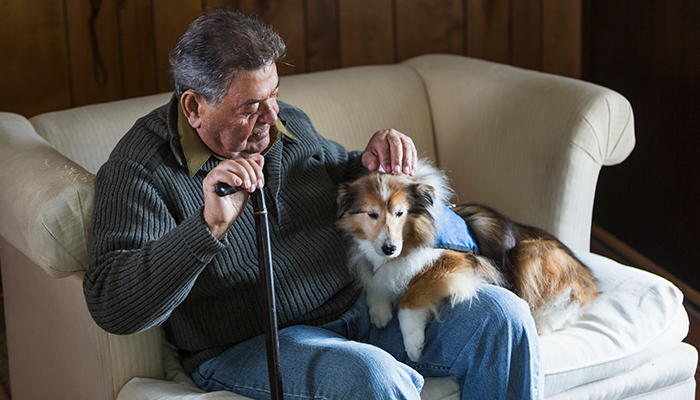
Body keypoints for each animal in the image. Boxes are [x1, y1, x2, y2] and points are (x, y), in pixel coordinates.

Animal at [336, 160, 600, 362]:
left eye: (400, 213)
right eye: (372, 214)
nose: (389, 248)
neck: (410, 240)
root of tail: (591, 283)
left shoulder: (456, 263)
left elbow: (409, 299)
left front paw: (413, 343)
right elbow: (376, 283)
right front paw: (380, 312)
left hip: (530, 250)